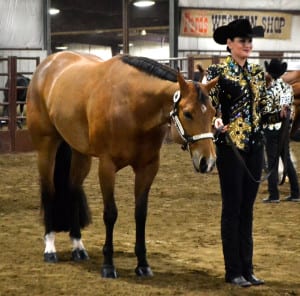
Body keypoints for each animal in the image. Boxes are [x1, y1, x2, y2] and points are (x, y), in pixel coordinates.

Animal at [26, 50, 218, 278]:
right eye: (188, 113)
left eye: (213, 112)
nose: (208, 161)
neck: (132, 105)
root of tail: (47, 65)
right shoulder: (107, 167)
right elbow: (110, 214)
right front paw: (108, 266)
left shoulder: (148, 167)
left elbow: (140, 214)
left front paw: (143, 264)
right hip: (46, 147)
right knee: (49, 191)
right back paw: (50, 248)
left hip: (80, 154)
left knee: (72, 190)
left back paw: (78, 247)